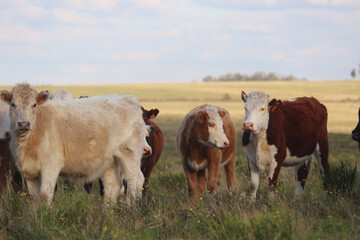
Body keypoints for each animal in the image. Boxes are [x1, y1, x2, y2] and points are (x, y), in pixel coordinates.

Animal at [0, 83, 149, 205]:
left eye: (34, 104)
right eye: (13, 104)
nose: (24, 123)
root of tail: (128, 99)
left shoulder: (50, 166)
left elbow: (44, 196)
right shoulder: (30, 173)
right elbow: (35, 198)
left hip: (130, 154)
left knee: (134, 181)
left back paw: (131, 209)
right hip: (110, 160)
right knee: (112, 186)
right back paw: (106, 215)